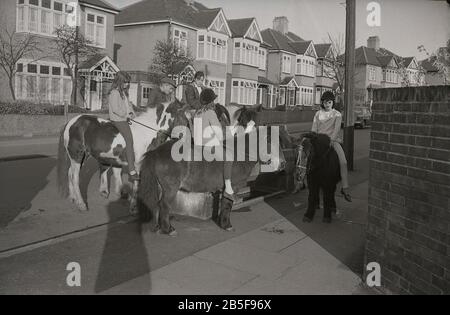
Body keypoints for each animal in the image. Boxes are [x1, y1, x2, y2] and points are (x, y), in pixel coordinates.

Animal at [57, 100, 185, 214]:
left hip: (83, 156)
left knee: (70, 173)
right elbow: (137, 184)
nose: (185, 140)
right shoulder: (138, 166)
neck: (146, 133)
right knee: (75, 177)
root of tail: (71, 122)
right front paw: (134, 207)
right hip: (77, 155)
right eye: (182, 117)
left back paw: (73, 198)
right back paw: (81, 204)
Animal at [135, 107, 286, 237]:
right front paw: (227, 225)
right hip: (171, 188)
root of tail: (156, 152)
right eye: (270, 142)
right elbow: (227, 204)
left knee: (157, 204)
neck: (239, 153)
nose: (283, 163)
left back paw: (159, 227)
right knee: (164, 205)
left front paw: (223, 223)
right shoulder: (233, 186)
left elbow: (224, 203)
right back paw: (168, 229)